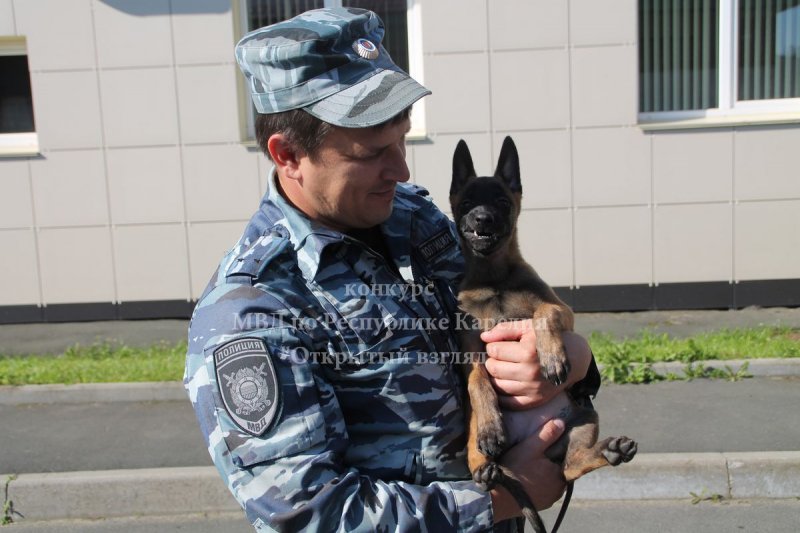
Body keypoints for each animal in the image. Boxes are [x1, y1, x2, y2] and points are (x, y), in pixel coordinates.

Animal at [450, 136, 636, 528]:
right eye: (468, 203)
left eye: (502, 202)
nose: (483, 219)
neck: (494, 279)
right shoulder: (471, 352)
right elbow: (479, 381)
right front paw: (491, 425)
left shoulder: (562, 310)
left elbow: (543, 313)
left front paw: (551, 358)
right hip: (479, 433)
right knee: (484, 460)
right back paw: (486, 464)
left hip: (584, 416)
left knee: (569, 467)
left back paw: (611, 451)